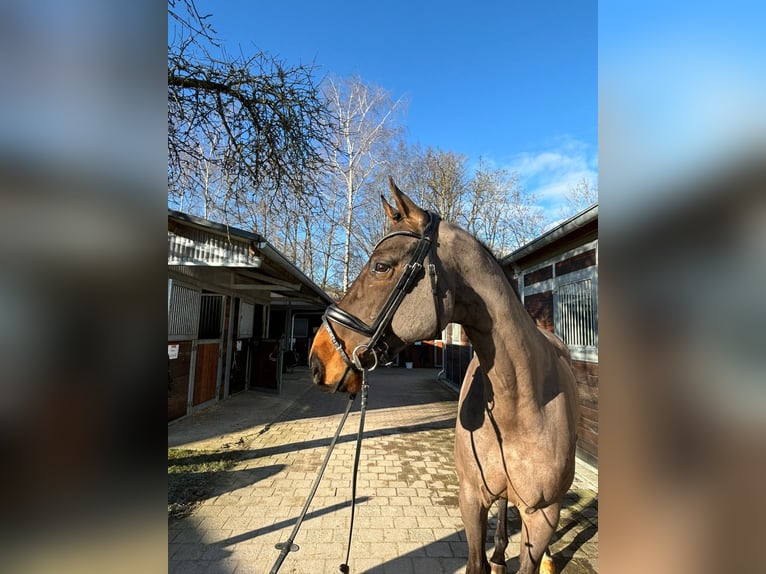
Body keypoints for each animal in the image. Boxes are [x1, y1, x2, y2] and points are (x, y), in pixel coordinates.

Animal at [308, 180, 580, 574]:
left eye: (381, 266)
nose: (318, 360)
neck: (521, 403)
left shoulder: (544, 516)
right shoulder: (470, 498)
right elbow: (476, 563)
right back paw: (500, 553)